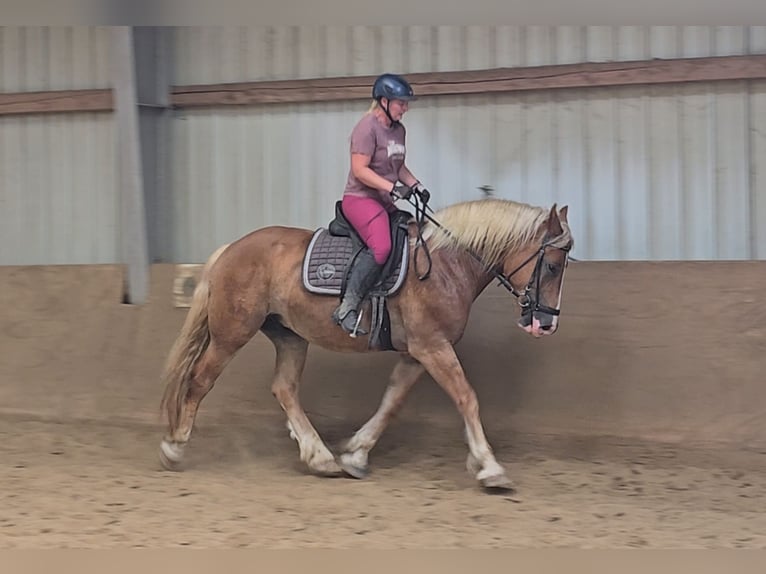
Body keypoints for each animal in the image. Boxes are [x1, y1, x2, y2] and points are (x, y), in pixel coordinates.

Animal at [159, 196, 572, 492]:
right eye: (552, 265)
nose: (546, 323)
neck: (445, 265)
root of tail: (231, 249)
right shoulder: (433, 347)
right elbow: (466, 397)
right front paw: (489, 466)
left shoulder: (417, 354)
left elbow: (391, 402)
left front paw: (356, 454)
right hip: (232, 333)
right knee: (199, 381)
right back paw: (174, 447)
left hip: (290, 336)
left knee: (284, 388)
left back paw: (319, 457)